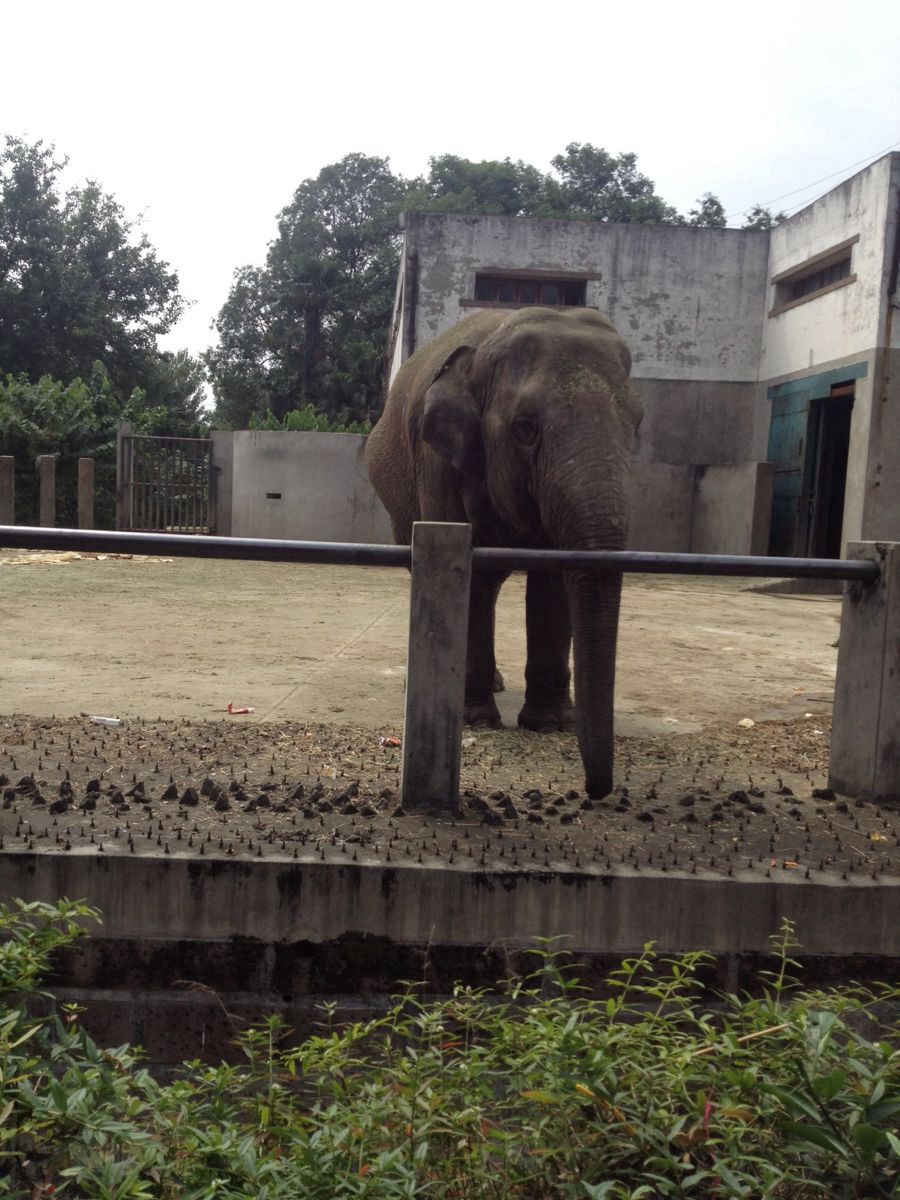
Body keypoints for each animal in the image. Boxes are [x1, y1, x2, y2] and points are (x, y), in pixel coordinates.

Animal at [362, 304, 643, 801]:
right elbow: (465, 568)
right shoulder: (437, 462)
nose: (596, 791)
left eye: (639, 425)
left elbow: (552, 584)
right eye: (525, 428)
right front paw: (477, 720)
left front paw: (549, 726)